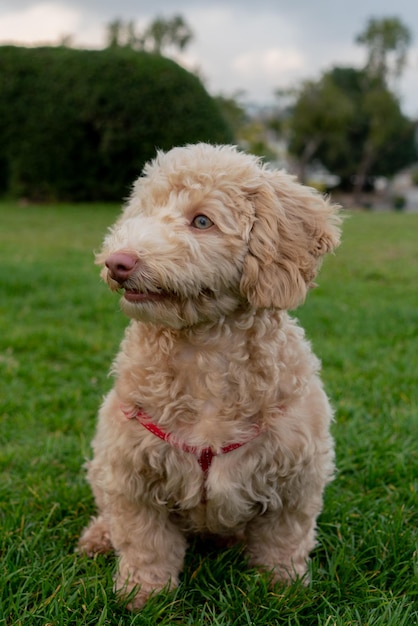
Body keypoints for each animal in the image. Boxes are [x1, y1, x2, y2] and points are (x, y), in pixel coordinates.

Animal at [79, 143, 342, 608]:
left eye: (202, 221)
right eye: (142, 213)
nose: (118, 262)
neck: (204, 353)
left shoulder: (296, 474)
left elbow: (283, 539)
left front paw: (283, 589)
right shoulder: (132, 472)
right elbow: (145, 542)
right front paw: (143, 597)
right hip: (102, 466)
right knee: (107, 511)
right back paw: (97, 537)